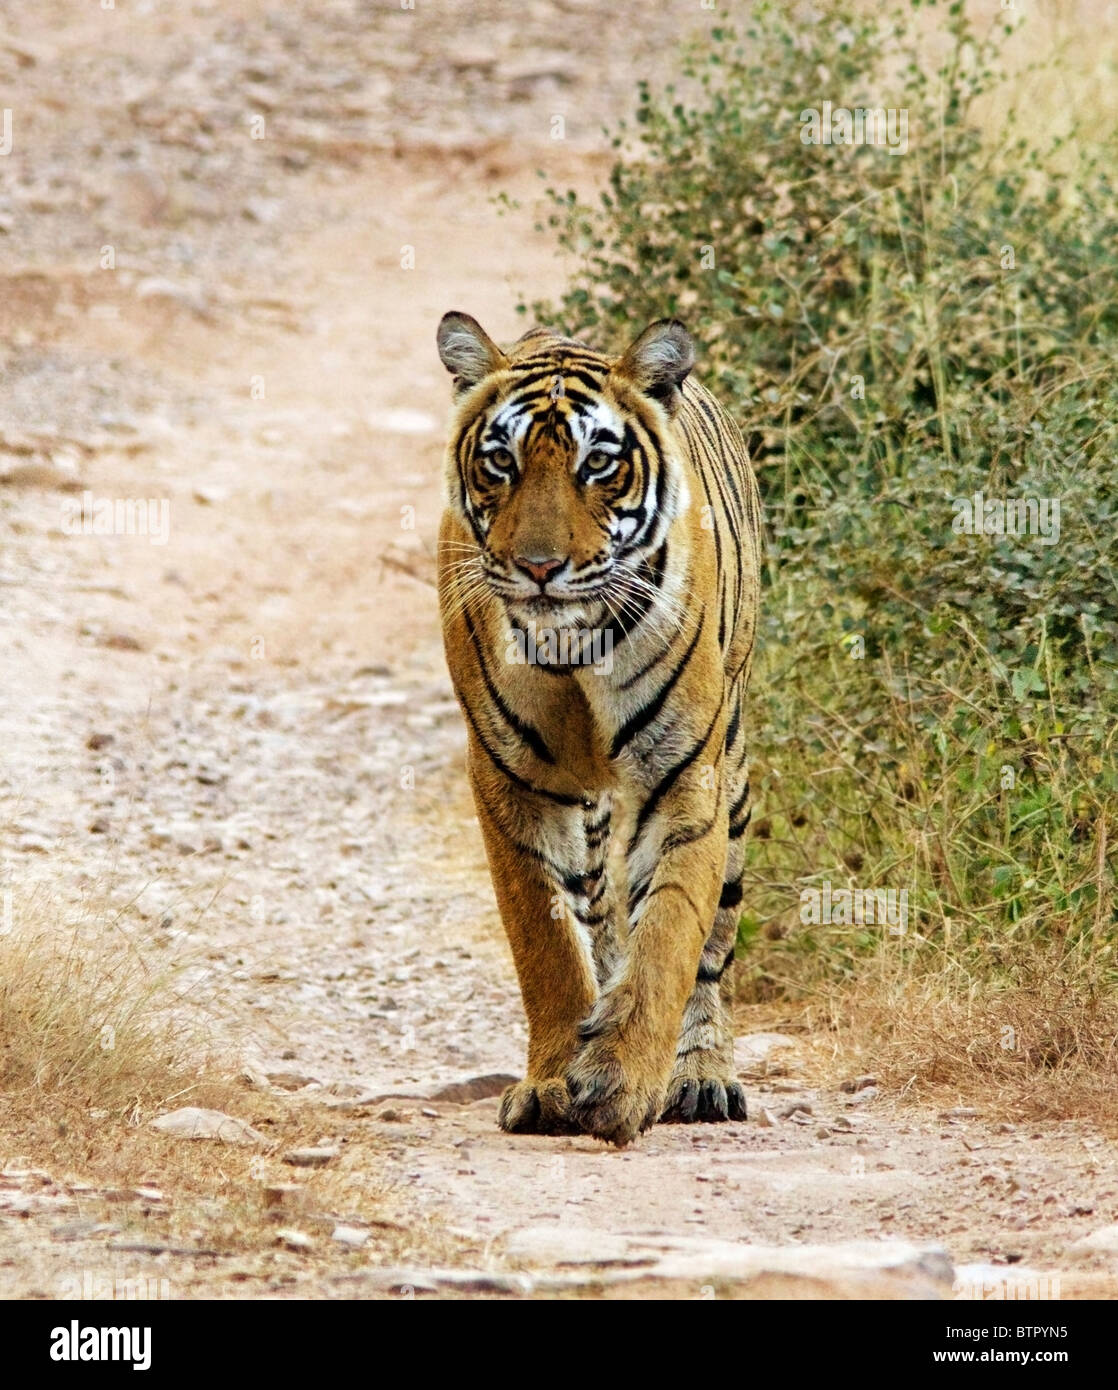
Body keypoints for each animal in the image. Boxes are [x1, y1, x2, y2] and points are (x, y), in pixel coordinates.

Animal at [433, 309, 762, 1145]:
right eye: (501, 462)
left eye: (598, 465)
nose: (539, 567)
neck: (574, 649)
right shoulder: (510, 784)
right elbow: (547, 946)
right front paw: (555, 1083)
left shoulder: (686, 779)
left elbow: (670, 936)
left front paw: (619, 1084)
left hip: (735, 773)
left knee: (712, 945)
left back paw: (702, 1077)